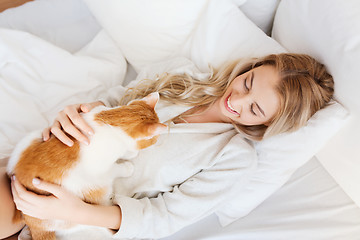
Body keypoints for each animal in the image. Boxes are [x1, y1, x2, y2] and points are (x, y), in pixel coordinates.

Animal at [6, 92, 167, 240]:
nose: (158, 140)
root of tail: (32, 222)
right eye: (155, 139)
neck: (110, 121)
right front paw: (128, 164)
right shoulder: (101, 171)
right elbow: (117, 167)